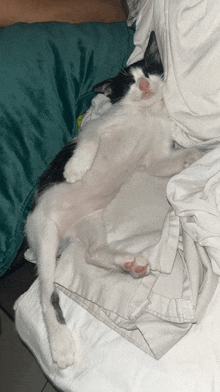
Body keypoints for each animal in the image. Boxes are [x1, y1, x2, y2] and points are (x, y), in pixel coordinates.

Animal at [25, 32, 201, 370]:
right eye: (128, 83)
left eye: (149, 71)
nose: (143, 85)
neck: (145, 114)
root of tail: (64, 233)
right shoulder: (96, 128)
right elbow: (89, 141)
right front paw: (75, 168)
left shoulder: (155, 157)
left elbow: (164, 163)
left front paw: (199, 154)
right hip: (43, 230)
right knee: (46, 292)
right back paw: (61, 345)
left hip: (90, 221)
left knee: (93, 253)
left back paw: (128, 263)